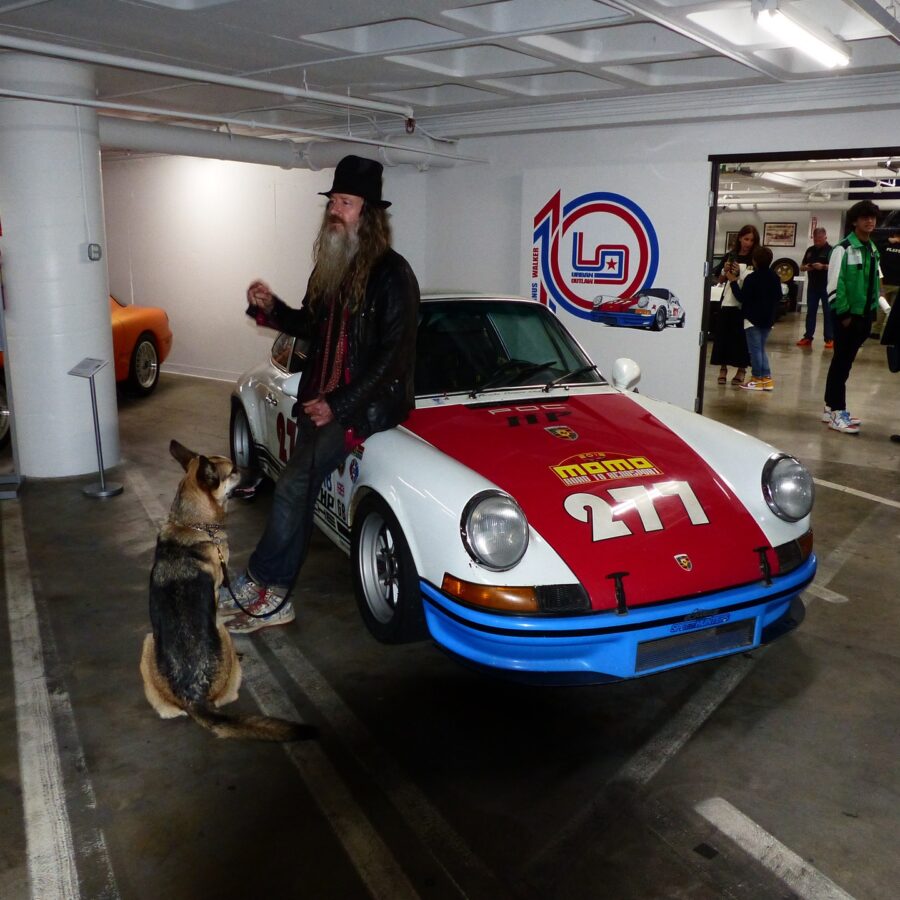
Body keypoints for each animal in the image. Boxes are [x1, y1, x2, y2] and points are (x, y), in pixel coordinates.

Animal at [140, 440, 316, 740]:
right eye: (234, 470)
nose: (262, 471)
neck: (193, 524)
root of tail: (194, 697)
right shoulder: (214, 592)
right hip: (186, 636)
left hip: (148, 643)